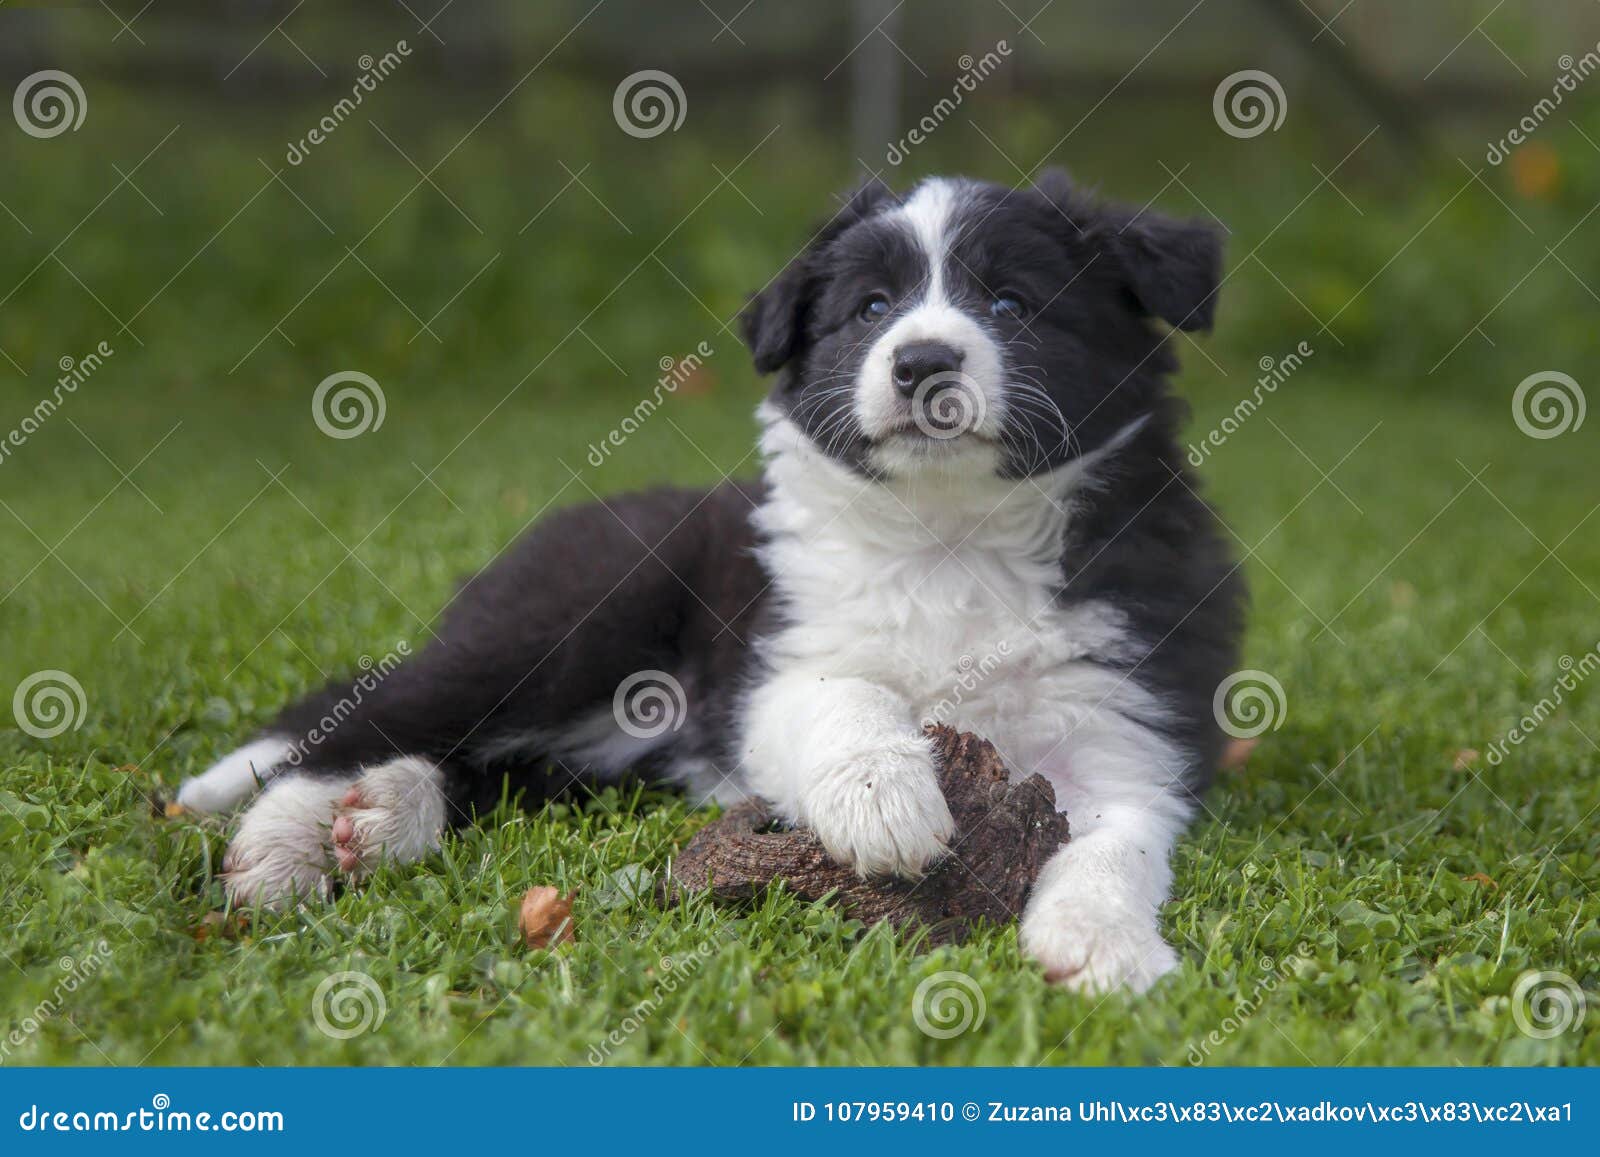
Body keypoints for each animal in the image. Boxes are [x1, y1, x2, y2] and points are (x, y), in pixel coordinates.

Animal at [181, 172, 1241, 998]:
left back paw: (381, 817)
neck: (954, 535)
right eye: (871, 309)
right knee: (366, 714)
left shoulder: (1129, 731)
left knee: (491, 768)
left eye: (1014, 305)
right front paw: (885, 797)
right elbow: (846, 694)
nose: (921, 362)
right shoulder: (770, 676)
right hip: (561, 628)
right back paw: (283, 835)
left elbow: (1120, 839)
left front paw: (1100, 944)